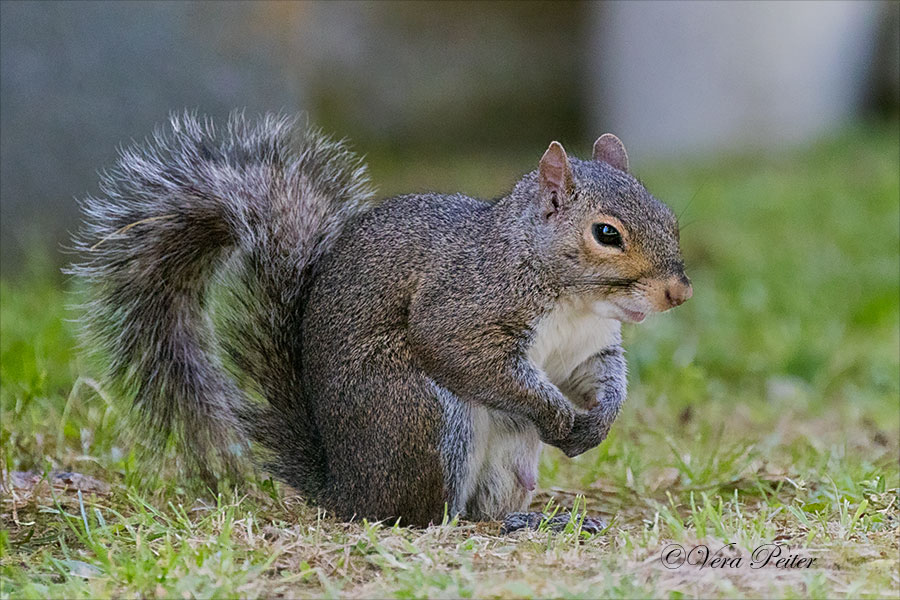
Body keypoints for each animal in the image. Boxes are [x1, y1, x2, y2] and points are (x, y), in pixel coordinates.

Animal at [70, 112, 692, 524]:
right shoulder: (462, 308)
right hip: (422, 417)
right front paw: (558, 415)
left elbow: (600, 377)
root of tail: (346, 489)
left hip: (508, 461)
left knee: (484, 507)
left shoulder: (589, 348)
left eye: (669, 215)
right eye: (606, 234)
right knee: (421, 515)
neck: (573, 298)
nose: (679, 292)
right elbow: (467, 357)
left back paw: (526, 519)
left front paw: (600, 418)